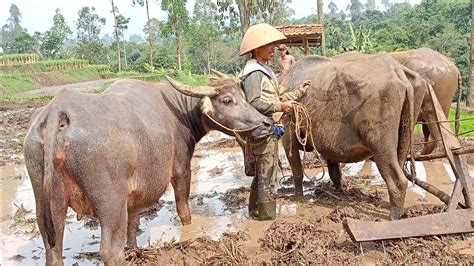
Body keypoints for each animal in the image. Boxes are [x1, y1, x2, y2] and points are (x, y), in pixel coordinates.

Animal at [23, 77, 274, 264]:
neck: (178, 112)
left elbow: (134, 225)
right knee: (109, 251)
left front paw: (135, 251)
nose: (266, 123)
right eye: (227, 100)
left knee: (53, 249)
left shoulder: (135, 194)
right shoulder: (181, 169)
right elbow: (184, 210)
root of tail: (57, 111)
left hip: (46, 202)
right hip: (111, 203)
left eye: (243, 97)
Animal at [276, 53, 428, 220]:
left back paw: (394, 216)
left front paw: (297, 196)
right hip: (408, 123)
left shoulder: (288, 123)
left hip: (379, 132)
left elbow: (295, 163)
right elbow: (333, 167)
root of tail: (398, 70)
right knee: (400, 160)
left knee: (396, 176)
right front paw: (339, 191)